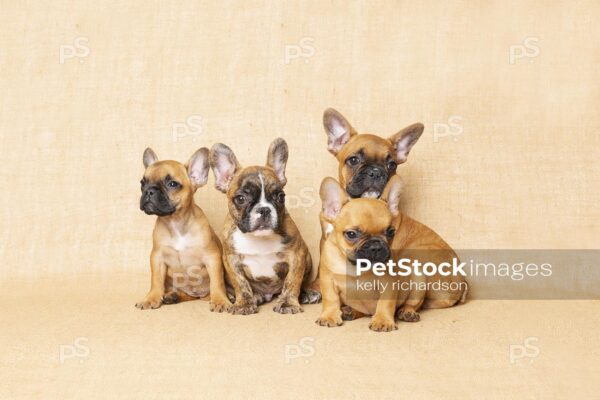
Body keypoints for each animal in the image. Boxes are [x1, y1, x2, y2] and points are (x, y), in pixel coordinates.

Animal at [137, 148, 232, 312]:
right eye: (143, 183)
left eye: (172, 184)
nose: (149, 191)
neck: (176, 222)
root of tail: (199, 295)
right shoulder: (157, 257)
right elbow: (155, 280)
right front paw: (151, 298)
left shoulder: (212, 257)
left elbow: (217, 282)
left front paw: (220, 300)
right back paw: (172, 296)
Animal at [210, 138, 322, 316]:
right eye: (240, 199)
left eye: (280, 196)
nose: (264, 209)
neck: (259, 239)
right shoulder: (231, 259)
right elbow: (240, 283)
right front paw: (244, 303)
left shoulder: (297, 255)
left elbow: (292, 281)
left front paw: (288, 303)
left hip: (308, 259)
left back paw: (307, 294)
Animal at [316, 177, 466, 330]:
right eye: (351, 234)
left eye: (391, 232)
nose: (376, 245)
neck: (356, 267)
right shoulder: (328, 279)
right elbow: (331, 299)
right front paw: (329, 316)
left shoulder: (388, 284)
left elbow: (385, 303)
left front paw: (382, 320)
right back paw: (350, 311)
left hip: (419, 279)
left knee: (413, 304)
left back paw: (407, 312)